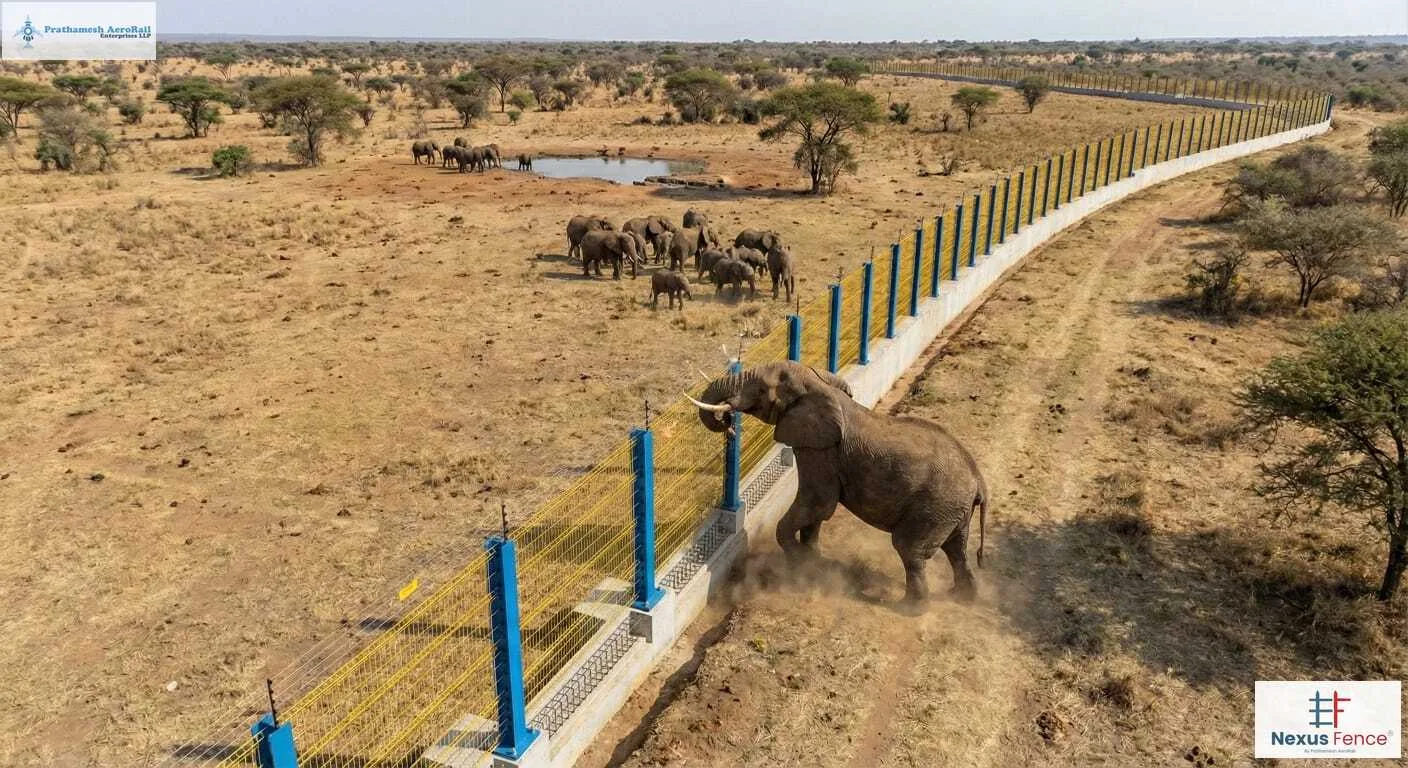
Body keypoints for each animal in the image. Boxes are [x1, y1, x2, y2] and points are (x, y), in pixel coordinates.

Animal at [689, 361, 989, 604]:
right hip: (951, 511)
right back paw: (961, 597)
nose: (728, 423)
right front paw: (812, 560)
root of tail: (978, 480)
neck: (820, 386)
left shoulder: (821, 450)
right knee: (957, 549)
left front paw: (800, 562)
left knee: (910, 548)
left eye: (762, 390)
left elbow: (817, 503)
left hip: (935, 506)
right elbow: (816, 513)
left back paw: (909, 607)